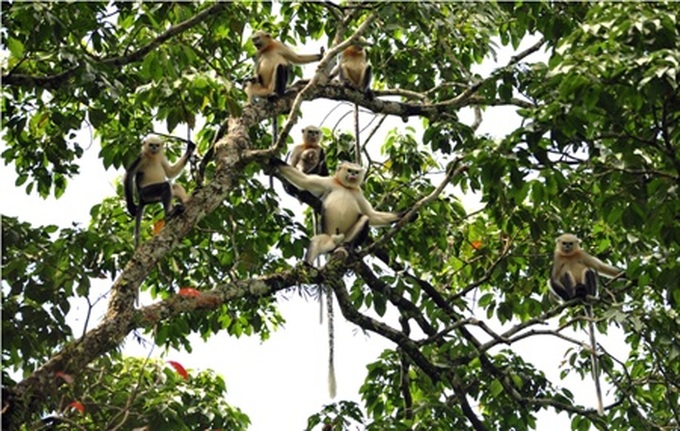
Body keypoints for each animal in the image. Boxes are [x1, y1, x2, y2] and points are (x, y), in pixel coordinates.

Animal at [548, 233, 624, 416]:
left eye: (570, 244)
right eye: (564, 243)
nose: (567, 247)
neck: (569, 256)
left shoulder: (582, 254)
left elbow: (600, 267)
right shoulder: (557, 258)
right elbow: (553, 279)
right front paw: (567, 299)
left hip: (590, 287)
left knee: (588, 270)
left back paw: (585, 292)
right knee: (566, 274)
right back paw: (576, 295)